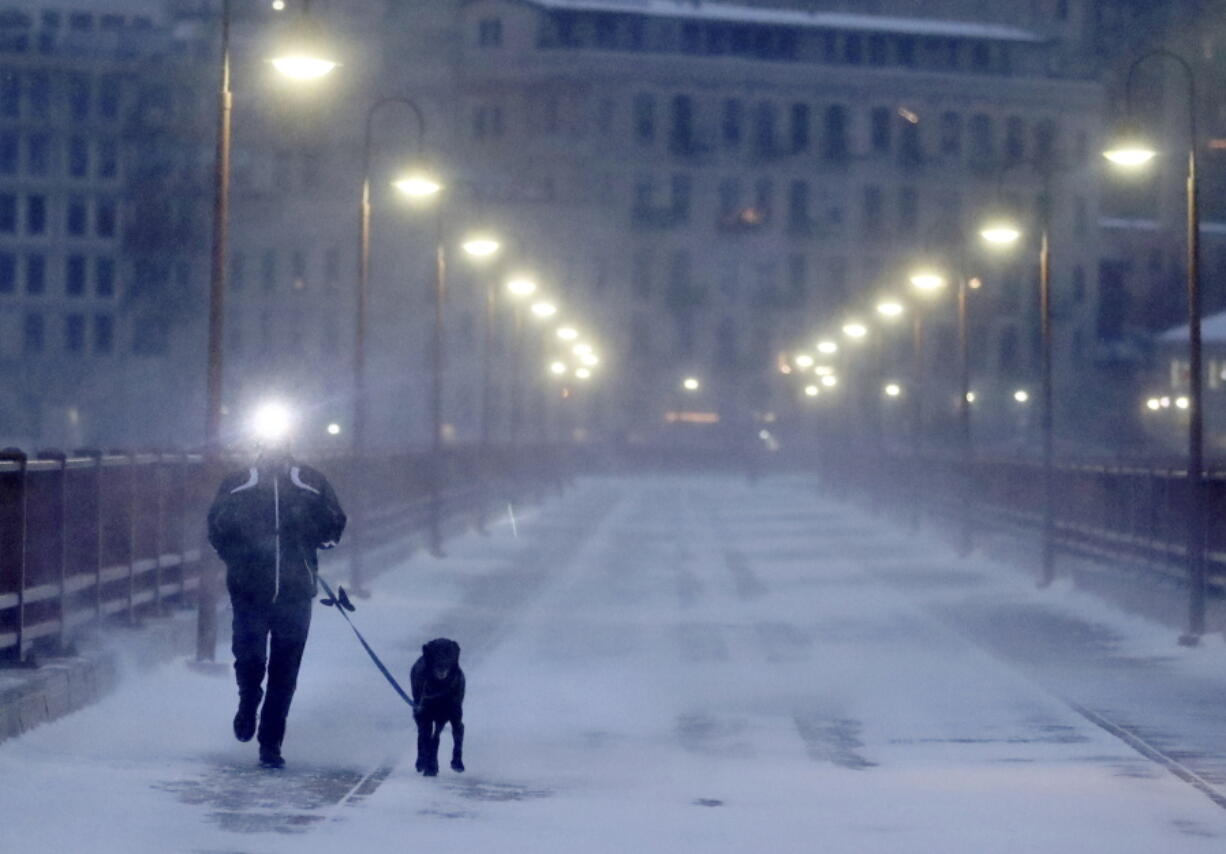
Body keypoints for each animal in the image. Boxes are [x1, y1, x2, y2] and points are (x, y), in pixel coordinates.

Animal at [414, 637, 465, 774]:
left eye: (449, 652)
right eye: (435, 652)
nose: (442, 665)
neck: (441, 688)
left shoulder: (455, 718)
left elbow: (457, 740)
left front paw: (457, 763)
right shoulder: (426, 717)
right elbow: (427, 740)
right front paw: (429, 767)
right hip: (419, 713)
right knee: (422, 736)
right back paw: (421, 762)